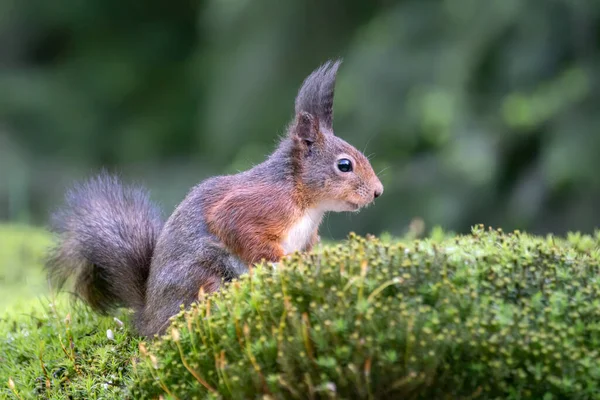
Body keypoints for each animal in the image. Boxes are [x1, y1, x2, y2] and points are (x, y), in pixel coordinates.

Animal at [47, 60, 384, 338]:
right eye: (344, 165)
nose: (378, 191)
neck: (305, 199)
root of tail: (147, 316)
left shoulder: (307, 236)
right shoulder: (257, 206)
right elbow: (239, 230)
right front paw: (281, 262)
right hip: (204, 277)